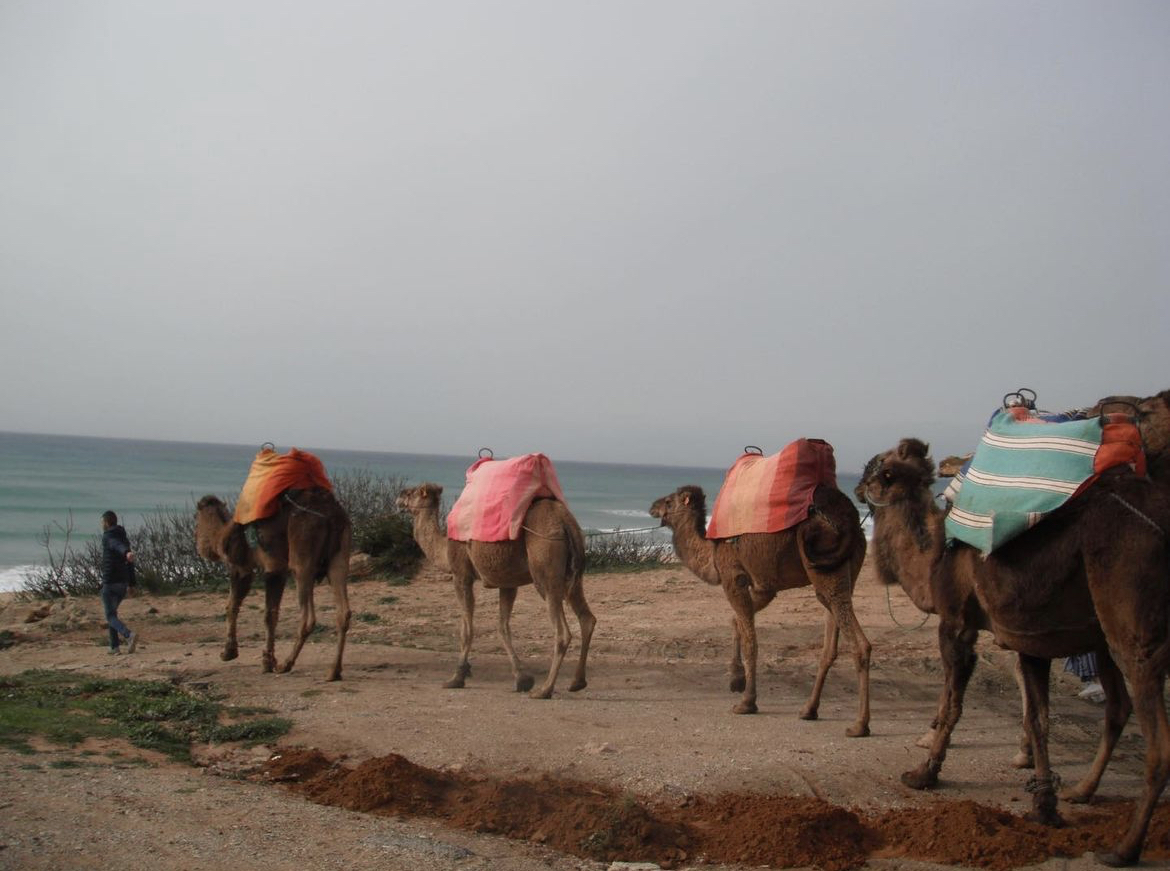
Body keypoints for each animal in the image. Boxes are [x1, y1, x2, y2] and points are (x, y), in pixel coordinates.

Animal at [195, 489, 351, 679]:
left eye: (196, 520)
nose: (196, 539)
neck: (221, 534)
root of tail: (332, 516)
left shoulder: (245, 566)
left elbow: (237, 607)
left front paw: (231, 653)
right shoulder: (277, 570)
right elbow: (271, 614)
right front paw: (267, 660)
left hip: (302, 553)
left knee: (308, 616)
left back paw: (286, 664)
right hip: (339, 557)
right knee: (343, 612)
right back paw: (333, 671)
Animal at [395, 482, 594, 702]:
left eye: (410, 493)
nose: (398, 498)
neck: (444, 548)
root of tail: (565, 521)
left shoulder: (461, 575)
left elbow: (466, 628)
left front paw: (456, 678)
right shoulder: (507, 583)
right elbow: (502, 627)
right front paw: (522, 679)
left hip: (545, 566)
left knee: (562, 631)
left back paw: (544, 690)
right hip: (572, 575)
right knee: (587, 618)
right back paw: (577, 682)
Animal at [650, 482, 870, 735]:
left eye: (668, 502)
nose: (653, 506)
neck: (713, 551)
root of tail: (850, 519)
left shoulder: (732, 576)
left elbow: (751, 642)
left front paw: (746, 702)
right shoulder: (765, 587)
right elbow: (736, 621)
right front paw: (736, 680)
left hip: (824, 558)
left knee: (858, 642)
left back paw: (859, 725)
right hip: (845, 568)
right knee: (830, 640)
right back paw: (809, 710)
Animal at [861, 437, 1170, 866]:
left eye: (881, 468)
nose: (858, 488)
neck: (935, 555)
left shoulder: (956, 621)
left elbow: (953, 701)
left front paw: (925, 772)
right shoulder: (1028, 637)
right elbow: (1038, 718)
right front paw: (1044, 805)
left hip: (1131, 616)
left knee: (1156, 738)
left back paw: (1124, 849)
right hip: (1101, 630)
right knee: (1118, 706)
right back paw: (1082, 791)